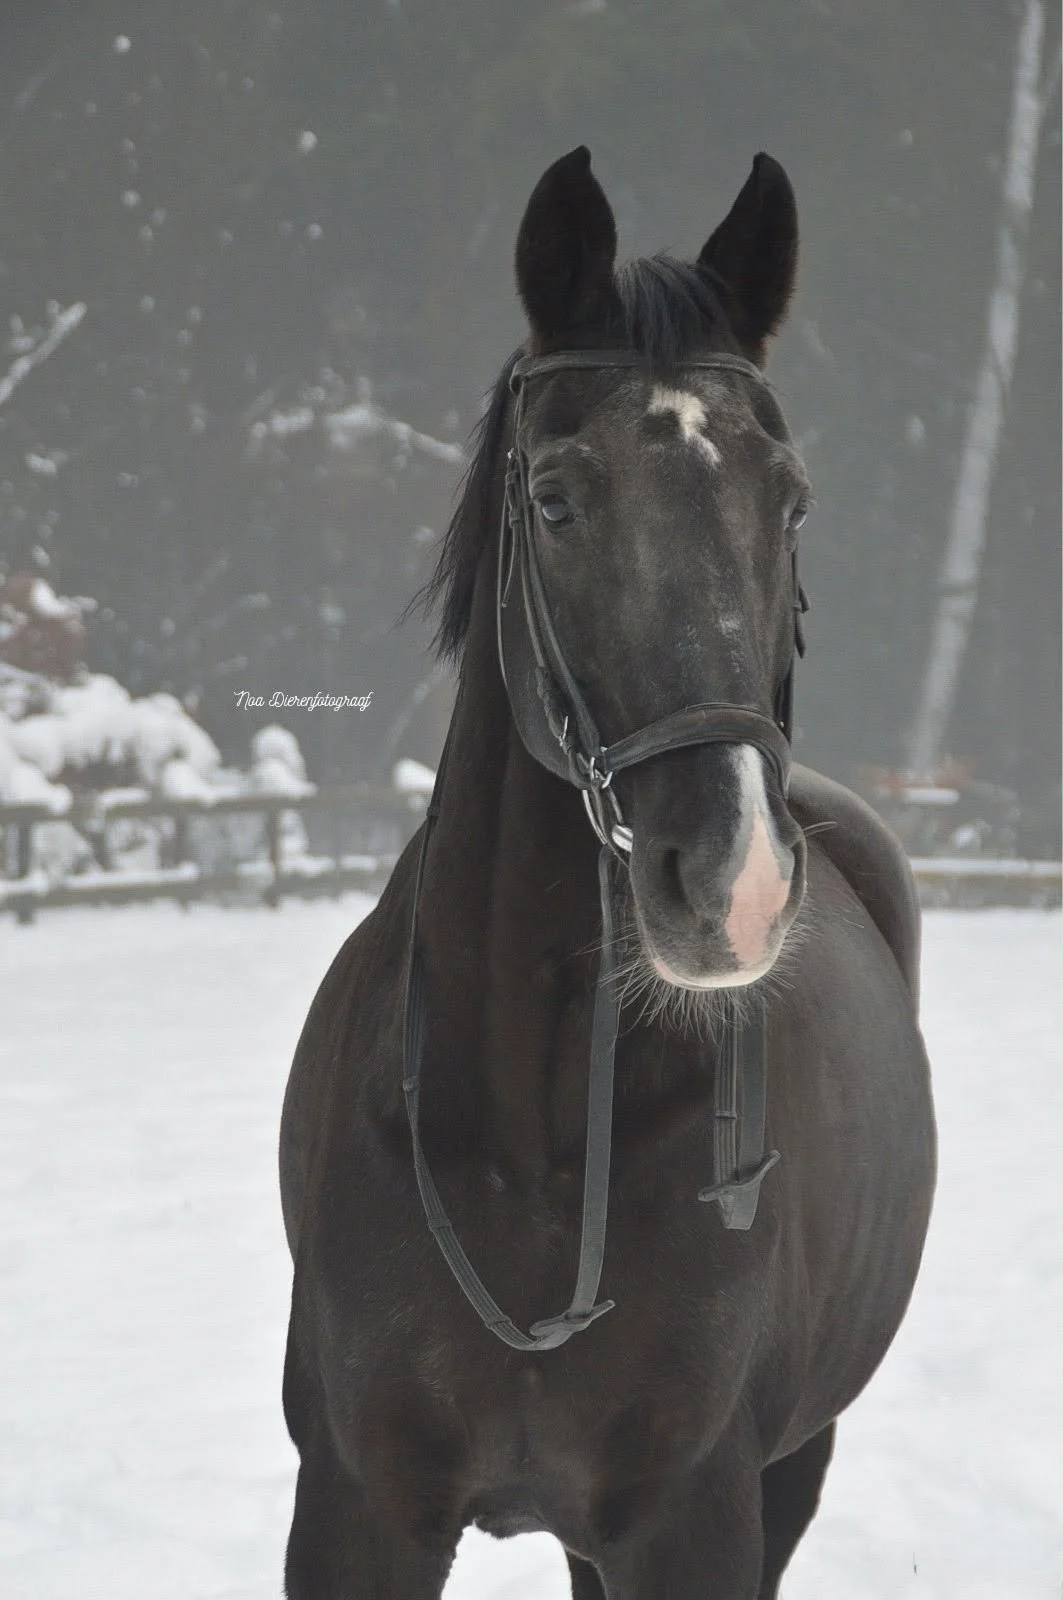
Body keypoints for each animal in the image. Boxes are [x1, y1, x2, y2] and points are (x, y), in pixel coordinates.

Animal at [279, 147, 936, 1599]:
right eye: (555, 499)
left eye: (789, 499)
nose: (735, 883)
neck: (529, 1136)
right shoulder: (355, 1509)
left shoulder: (695, 1517)